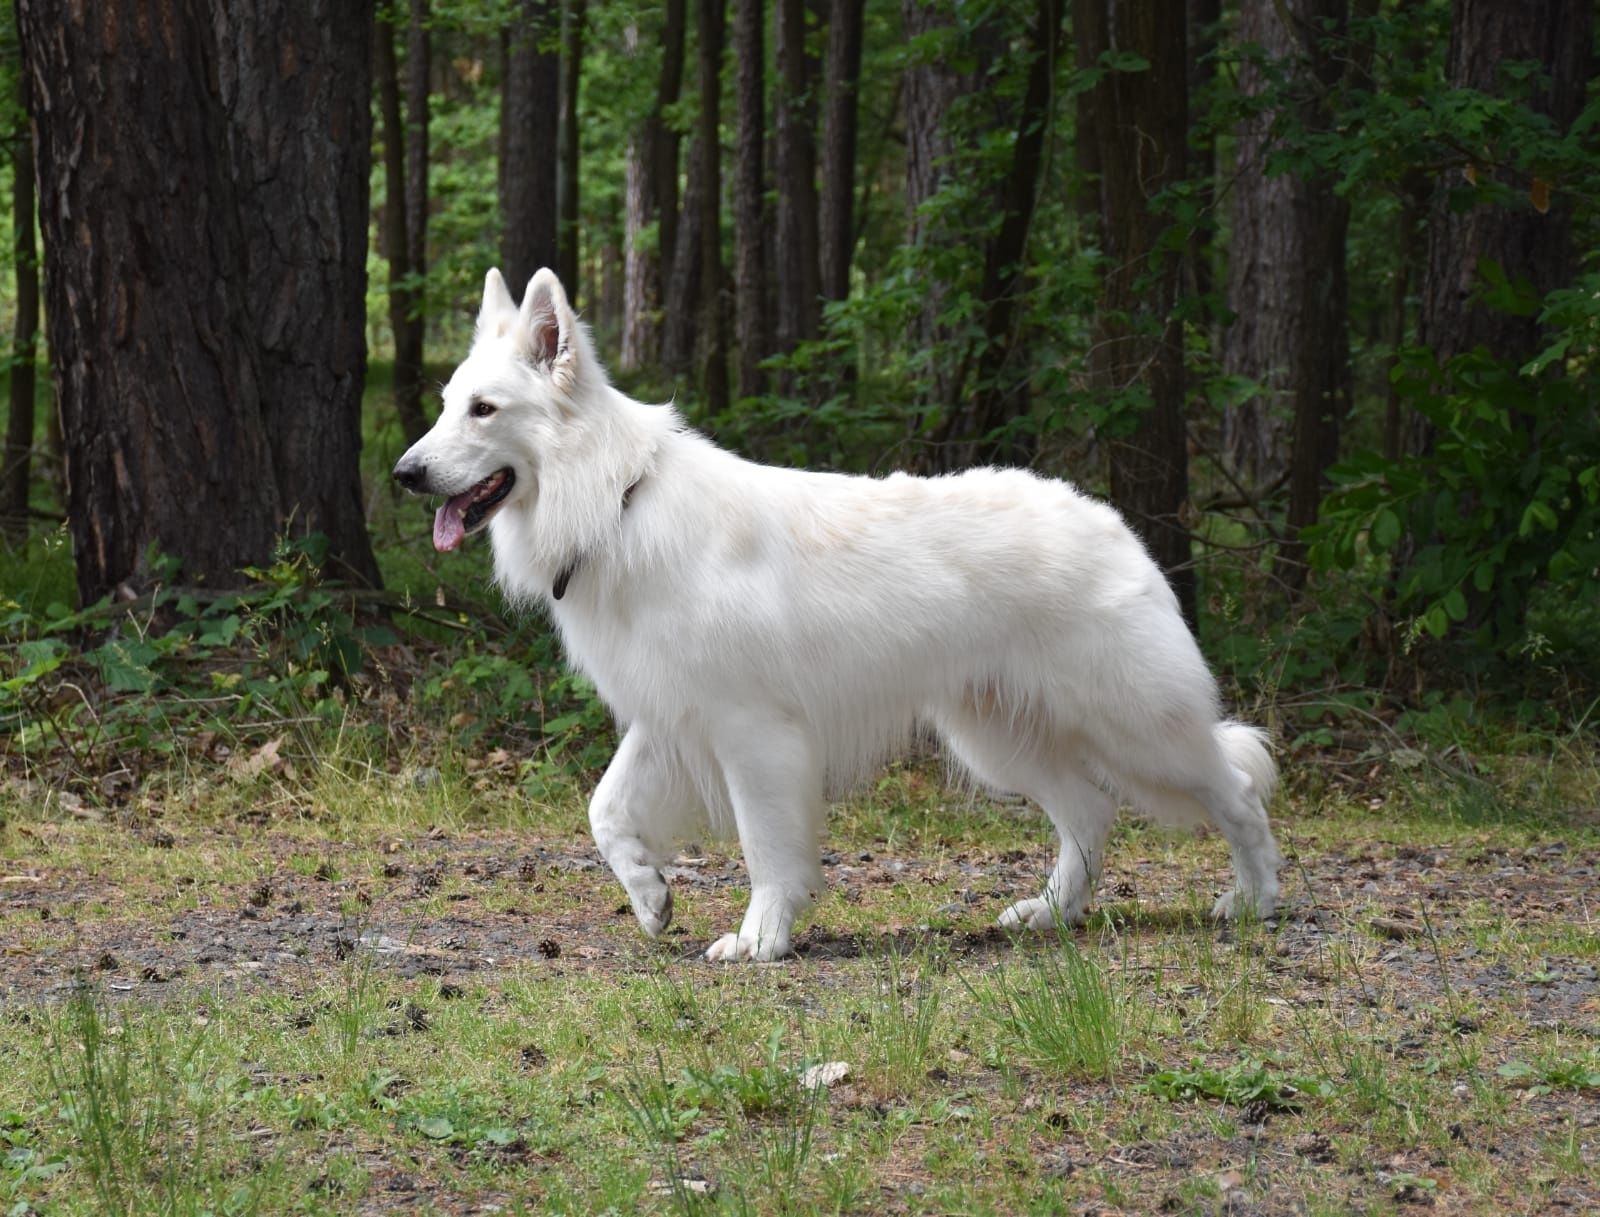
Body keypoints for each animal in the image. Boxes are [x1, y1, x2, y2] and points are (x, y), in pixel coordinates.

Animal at [393, 270, 1280, 965]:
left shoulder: (753, 734)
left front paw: (761, 937)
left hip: (1137, 729)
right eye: (444, 406)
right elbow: (605, 810)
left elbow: (765, 849)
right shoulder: (671, 717)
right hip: (998, 737)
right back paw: (1053, 913)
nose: (405, 473)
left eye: (483, 410)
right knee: (1090, 812)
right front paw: (650, 895)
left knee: (1234, 789)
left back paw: (1257, 898)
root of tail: (1110, 520)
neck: (616, 500)